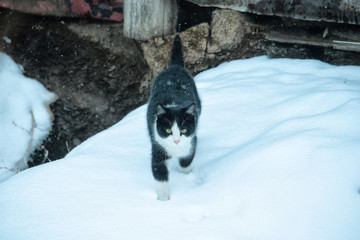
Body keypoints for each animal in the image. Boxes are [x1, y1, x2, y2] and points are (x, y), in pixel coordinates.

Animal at [147, 34, 202, 201]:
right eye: (167, 130)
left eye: (183, 130)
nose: (177, 140)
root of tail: (175, 67)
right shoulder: (158, 146)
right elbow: (159, 172)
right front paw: (164, 201)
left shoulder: (191, 141)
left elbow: (186, 160)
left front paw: (185, 178)